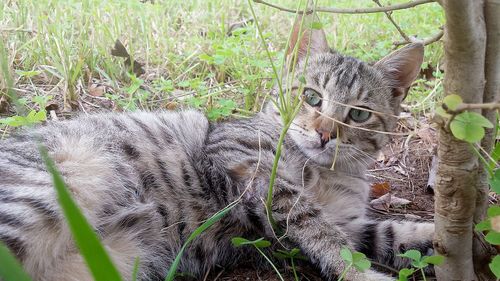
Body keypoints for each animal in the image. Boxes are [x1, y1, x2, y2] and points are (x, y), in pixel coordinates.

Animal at [0, 15, 434, 280]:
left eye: (359, 115)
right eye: (311, 97)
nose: (326, 134)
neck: (326, 172)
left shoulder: (355, 225)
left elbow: (400, 235)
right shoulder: (252, 170)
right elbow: (321, 232)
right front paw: (362, 274)